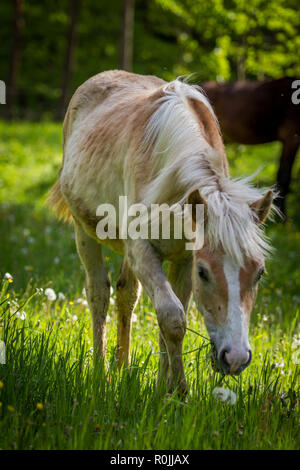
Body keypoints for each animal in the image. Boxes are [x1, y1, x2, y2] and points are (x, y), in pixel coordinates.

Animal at [48, 69, 274, 392]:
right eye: (204, 273)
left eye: (260, 273)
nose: (235, 358)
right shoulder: (143, 250)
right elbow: (172, 319)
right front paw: (178, 390)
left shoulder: (183, 258)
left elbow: (167, 320)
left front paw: (163, 390)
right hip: (84, 233)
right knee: (99, 293)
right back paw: (101, 373)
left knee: (126, 294)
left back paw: (122, 367)